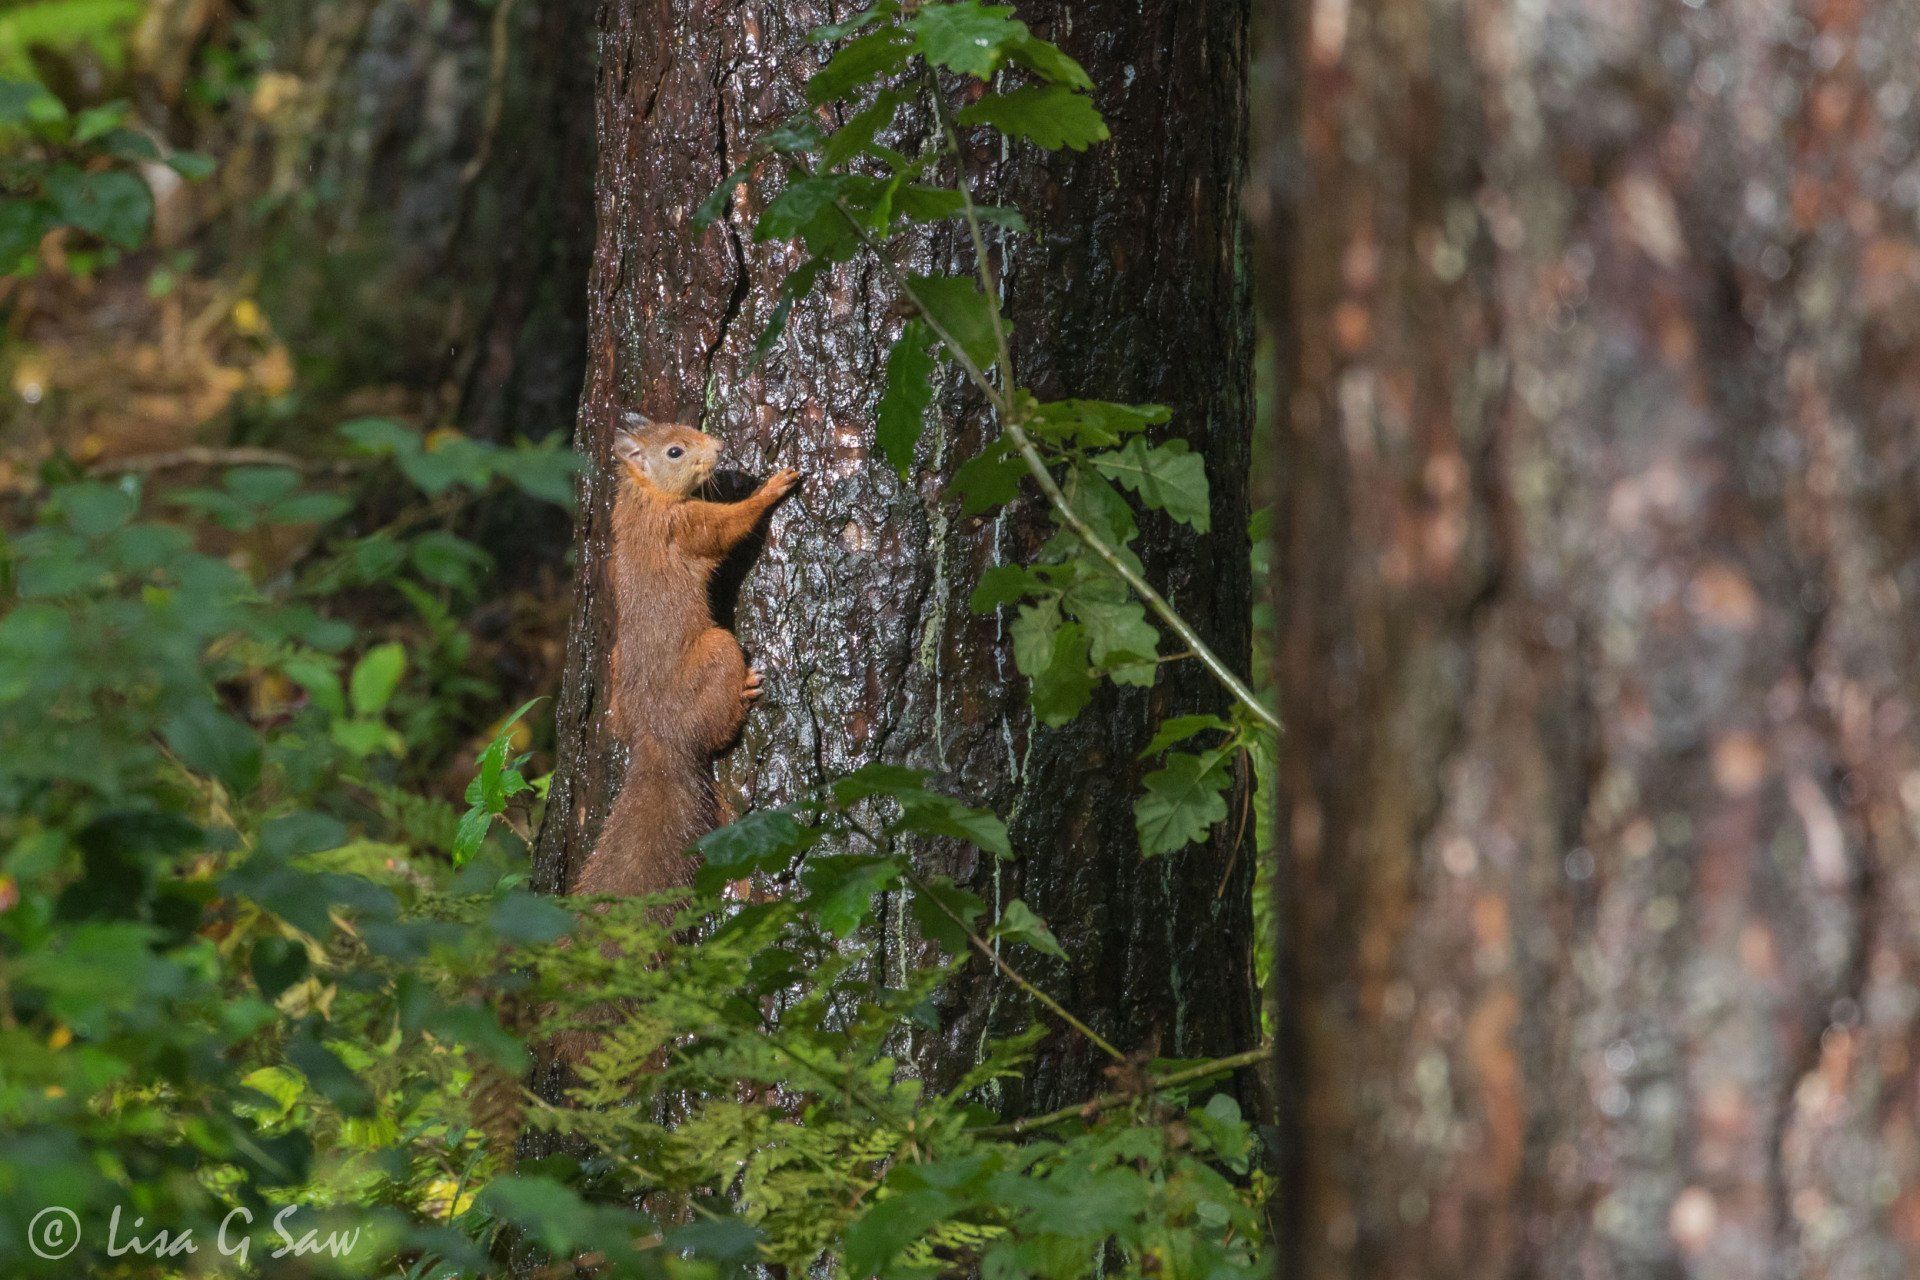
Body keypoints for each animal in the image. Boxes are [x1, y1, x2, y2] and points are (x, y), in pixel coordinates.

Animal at [572, 413, 801, 899]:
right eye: (674, 452)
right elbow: (728, 529)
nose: (718, 447)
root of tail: (656, 736)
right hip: (718, 651)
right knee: (717, 732)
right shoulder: (684, 525)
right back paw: (744, 692)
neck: (646, 497)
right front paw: (772, 487)